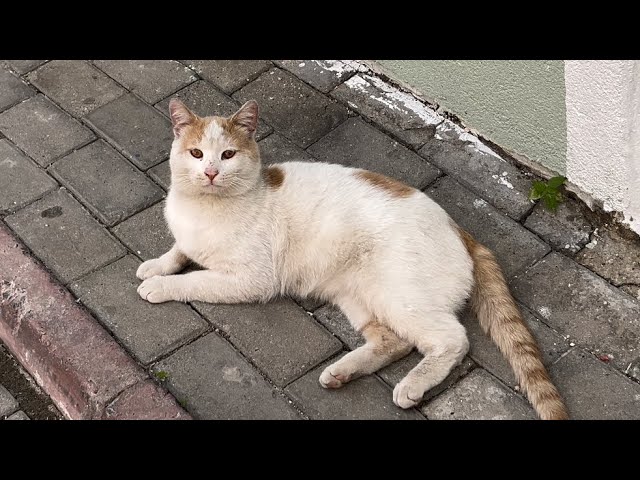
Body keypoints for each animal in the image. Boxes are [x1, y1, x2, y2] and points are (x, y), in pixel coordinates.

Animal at [138, 98, 568, 420]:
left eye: (227, 155)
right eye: (196, 153)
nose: (211, 172)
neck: (205, 209)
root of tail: (462, 230)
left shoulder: (251, 280)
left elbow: (195, 278)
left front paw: (158, 285)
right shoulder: (191, 241)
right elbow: (179, 251)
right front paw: (156, 265)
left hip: (398, 295)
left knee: (451, 339)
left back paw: (411, 386)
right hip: (357, 295)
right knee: (395, 342)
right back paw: (340, 373)